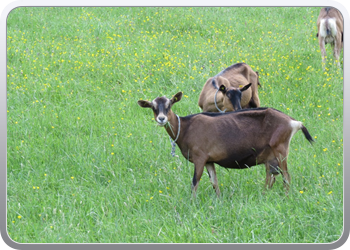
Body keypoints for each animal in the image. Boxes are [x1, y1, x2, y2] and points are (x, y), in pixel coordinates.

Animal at [137, 92, 314, 197]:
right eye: (153, 107)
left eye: (169, 105)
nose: (161, 119)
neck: (186, 127)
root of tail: (294, 122)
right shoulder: (209, 161)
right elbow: (214, 182)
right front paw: (219, 199)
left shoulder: (200, 157)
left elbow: (195, 182)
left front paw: (192, 203)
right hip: (270, 156)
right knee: (271, 176)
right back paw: (264, 195)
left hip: (280, 149)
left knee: (286, 177)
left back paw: (286, 197)